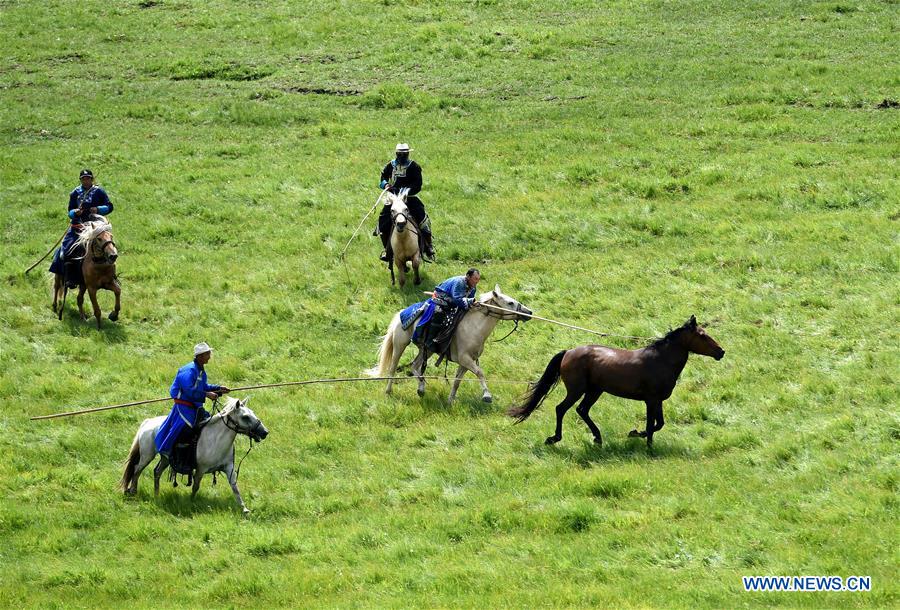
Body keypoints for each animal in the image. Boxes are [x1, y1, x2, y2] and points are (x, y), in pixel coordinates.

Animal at [119, 396, 268, 510]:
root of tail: (148, 422)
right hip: (147, 456)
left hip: (165, 458)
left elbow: (234, 487)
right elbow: (196, 486)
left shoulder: (228, 468)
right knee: (137, 469)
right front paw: (191, 501)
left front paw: (244, 508)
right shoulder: (201, 469)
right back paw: (133, 491)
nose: (264, 432)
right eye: (245, 417)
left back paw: (156, 495)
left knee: (156, 471)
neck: (216, 439)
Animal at [368, 286, 536, 402]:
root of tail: (401, 313)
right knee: (393, 367)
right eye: (510, 302)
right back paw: (389, 391)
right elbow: (480, 373)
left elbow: (457, 382)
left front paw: (450, 400)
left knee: (415, 366)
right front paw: (487, 395)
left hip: (426, 350)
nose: (529, 312)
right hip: (400, 344)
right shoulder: (465, 359)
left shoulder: (466, 363)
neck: (474, 327)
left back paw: (421, 388)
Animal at [506, 316, 724, 444]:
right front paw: (646, 444)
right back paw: (555, 438)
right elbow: (651, 425)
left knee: (582, 410)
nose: (721, 352)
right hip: (577, 390)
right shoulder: (650, 400)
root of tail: (568, 352)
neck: (660, 360)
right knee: (562, 409)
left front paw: (636, 434)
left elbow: (659, 424)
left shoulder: (658, 400)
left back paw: (597, 437)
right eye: (703, 335)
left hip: (595, 390)